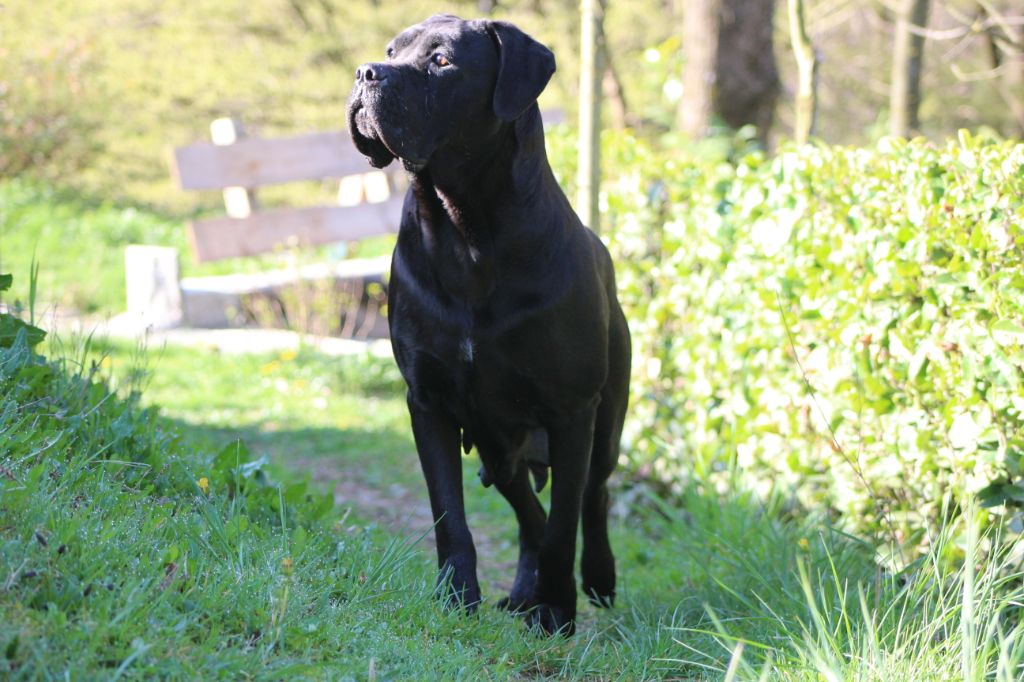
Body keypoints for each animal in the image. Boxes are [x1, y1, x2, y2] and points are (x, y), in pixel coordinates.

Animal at [348, 14, 626, 630]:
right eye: (391, 51)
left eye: (441, 60)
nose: (364, 72)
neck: (465, 230)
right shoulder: (428, 401)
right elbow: (450, 516)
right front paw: (456, 599)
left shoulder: (572, 410)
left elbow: (563, 524)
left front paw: (556, 613)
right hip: (498, 446)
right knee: (529, 513)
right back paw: (522, 592)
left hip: (604, 424)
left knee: (590, 498)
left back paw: (596, 579)